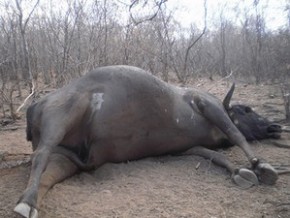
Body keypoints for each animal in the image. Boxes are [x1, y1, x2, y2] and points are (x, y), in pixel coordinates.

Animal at [14, 65, 282, 218]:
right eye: (247, 110)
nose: (275, 126)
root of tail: (36, 105)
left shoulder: (186, 148)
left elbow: (215, 155)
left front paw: (240, 170)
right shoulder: (206, 103)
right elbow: (236, 133)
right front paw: (261, 165)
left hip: (70, 159)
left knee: (47, 176)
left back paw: (30, 202)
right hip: (64, 116)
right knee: (40, 155)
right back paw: (26, 202)